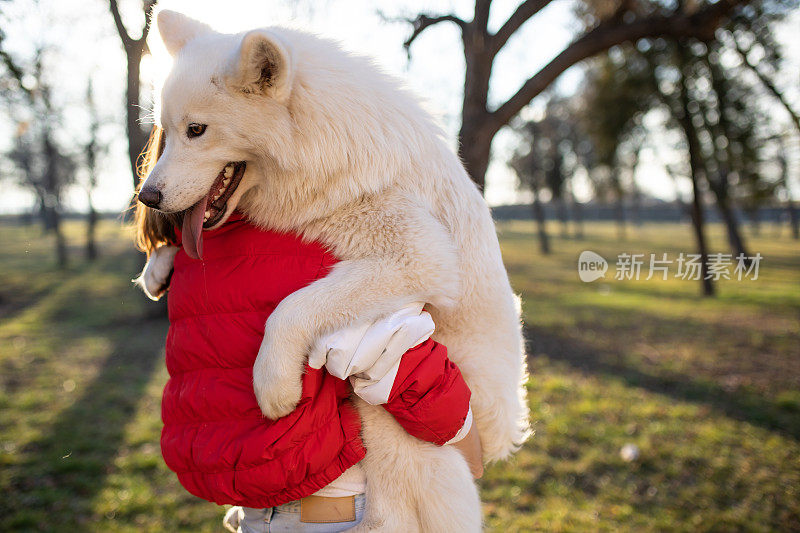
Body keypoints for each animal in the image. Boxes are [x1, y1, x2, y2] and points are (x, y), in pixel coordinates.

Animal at [138, 10, 528, 528]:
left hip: (392, 423)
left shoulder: (418, 253)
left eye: (197, 130)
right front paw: (158, 266)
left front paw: (273, 382)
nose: (147, 197)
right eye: (166, 131)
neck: (325, 147)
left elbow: (293, 306)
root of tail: (504, 431)